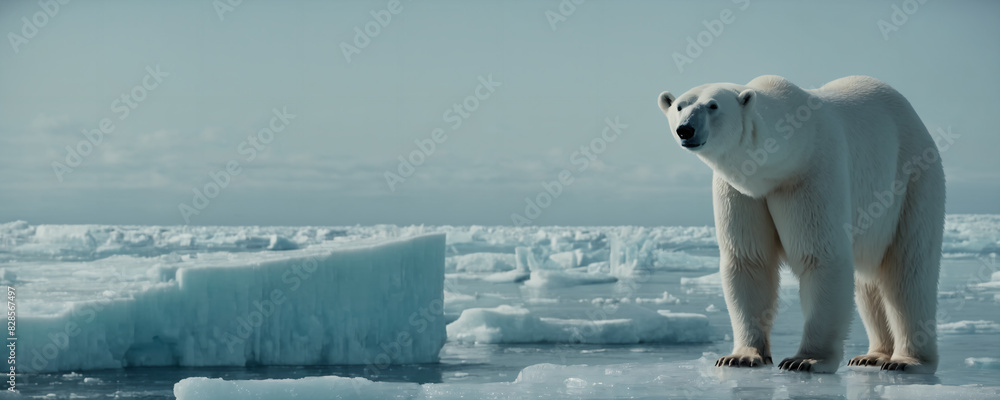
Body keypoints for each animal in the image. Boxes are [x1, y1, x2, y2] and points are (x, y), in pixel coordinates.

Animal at [657, 75, 944, 374]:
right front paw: (740, 356)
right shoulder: (741, 192)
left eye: (712, 105)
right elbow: (749, 260)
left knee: (908, 272)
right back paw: (872, 356)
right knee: (870, 280)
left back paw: (907, 361)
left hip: (912, 182)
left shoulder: (812, 173)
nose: (685, 130)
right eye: (679, 106)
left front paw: (805, 359)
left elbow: (820, 257)